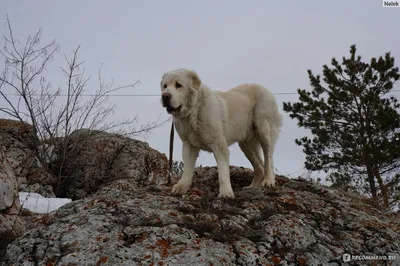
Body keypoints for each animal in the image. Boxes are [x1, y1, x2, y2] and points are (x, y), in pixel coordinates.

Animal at [161, 68, 282, 197]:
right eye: (165, 86)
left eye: (179, 85)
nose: (165, 96)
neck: (194, 110)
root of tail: (263, 88)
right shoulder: (188, 144)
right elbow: (187, 170)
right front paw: (182, 186)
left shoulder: (219, 145)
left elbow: (223, 173)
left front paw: (226, 193)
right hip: (246, 145)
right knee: (260, 166)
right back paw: (252, 187)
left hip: (263, 129)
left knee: (268, 158)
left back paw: (268, 181)